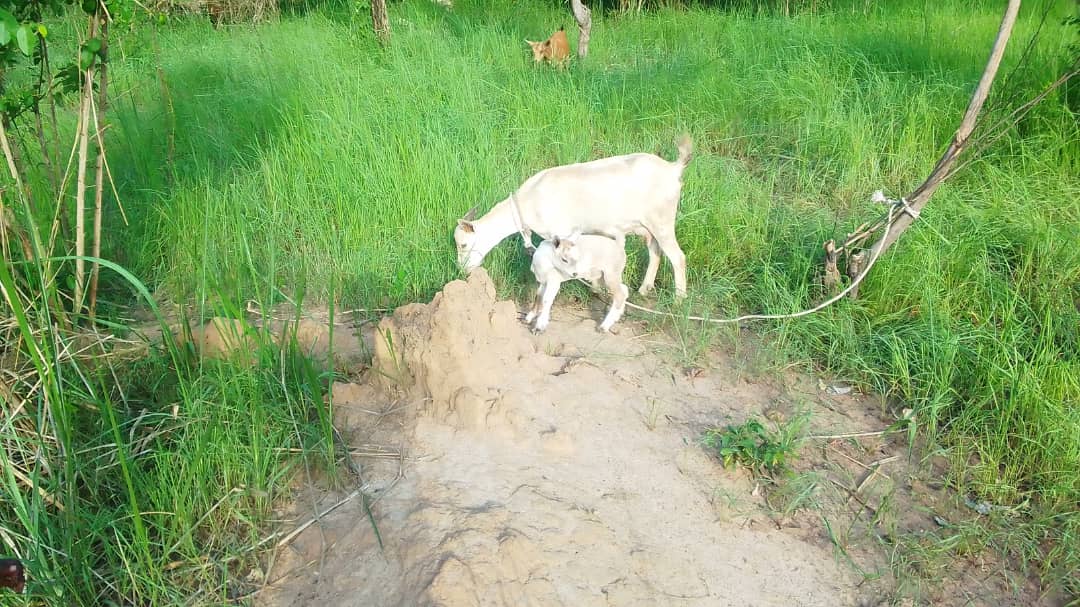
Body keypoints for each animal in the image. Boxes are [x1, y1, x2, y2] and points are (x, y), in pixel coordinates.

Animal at [454, 135, 693, 299]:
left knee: (678, 257)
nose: (462, 269)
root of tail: (673, 168)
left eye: (463, 244)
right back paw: (644, 289)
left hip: (662, 221)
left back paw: (678, 300)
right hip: (648, 226)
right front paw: (597, 287)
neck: (526, 202)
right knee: (655, 252)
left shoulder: (563, 233)